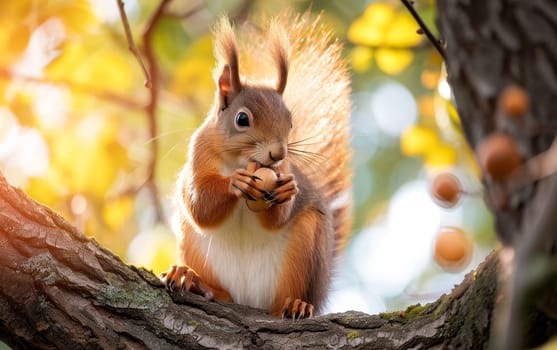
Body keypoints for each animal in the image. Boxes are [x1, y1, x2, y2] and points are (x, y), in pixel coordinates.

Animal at [161, 10, 350, 318]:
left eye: (290, 121)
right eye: (242, 119)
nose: (278, 153)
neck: (242, 160)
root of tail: (249, 301)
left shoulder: (283, 169)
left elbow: (277, 217)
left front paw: (286, 191)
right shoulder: (199, 151)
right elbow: (200, 205)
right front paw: (235, 182)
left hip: (305, 249)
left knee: (287, 297)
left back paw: (295, 304)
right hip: (194, 245)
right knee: (220, 289)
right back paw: (194, 281)